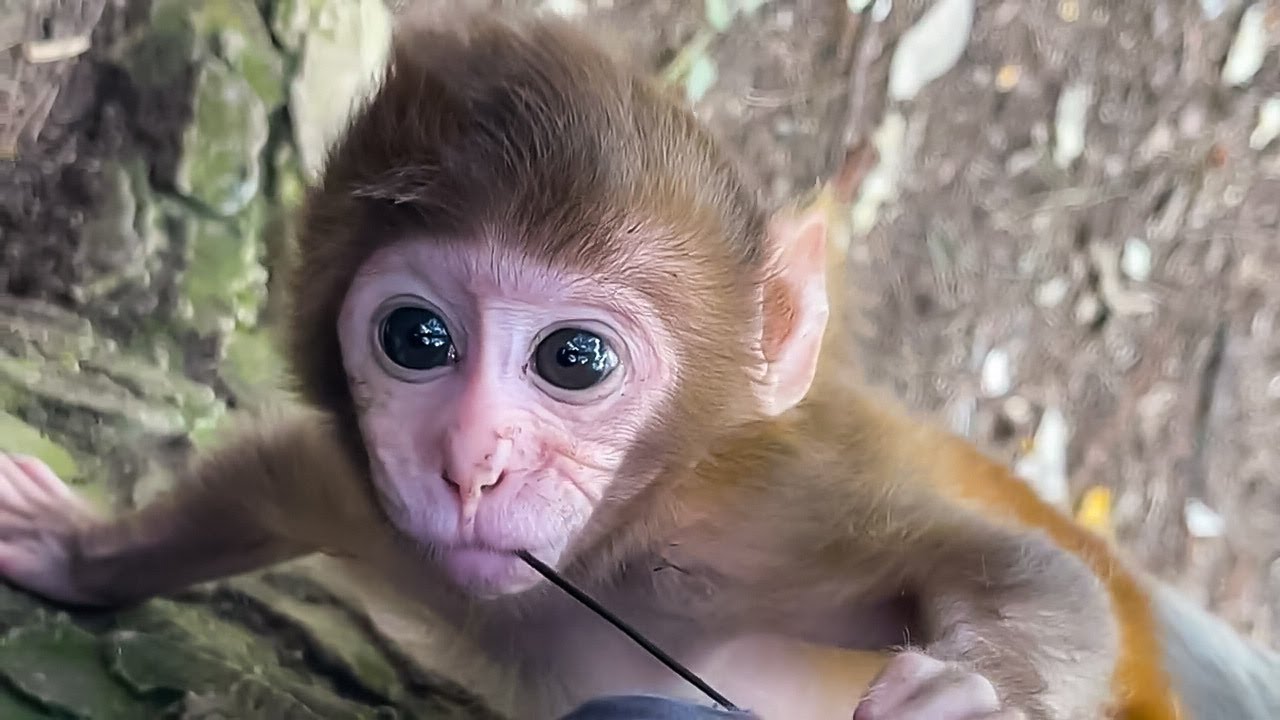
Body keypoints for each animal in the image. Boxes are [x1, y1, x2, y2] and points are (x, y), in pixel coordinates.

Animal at [0, 9, 1277, 720]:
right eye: (415, 340)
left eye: (572, 359)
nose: (470, 462)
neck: (599, 556)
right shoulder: (377, 500)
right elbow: (266, 485)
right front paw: (79, 553)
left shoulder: (736, 530)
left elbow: (1013, 574)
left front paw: (972, 694)